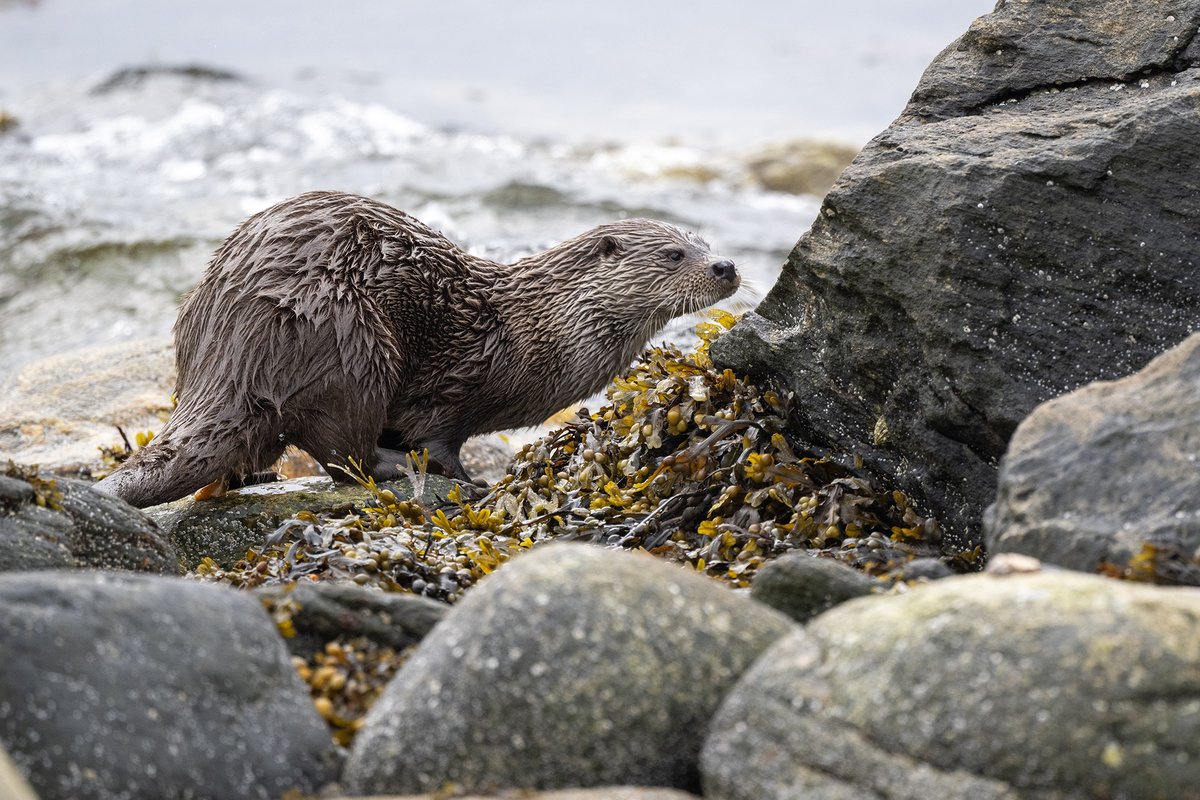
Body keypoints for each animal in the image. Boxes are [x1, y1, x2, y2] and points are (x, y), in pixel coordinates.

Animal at [96, 190, 739, 506]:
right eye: (674, 255)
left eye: (707, 243)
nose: (727, 266)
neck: (531, 330)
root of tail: (229, 350)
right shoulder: (457, 383)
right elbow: (436, 436)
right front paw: (469, 479)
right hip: (349, 341)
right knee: (344, 452)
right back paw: (405, 469)